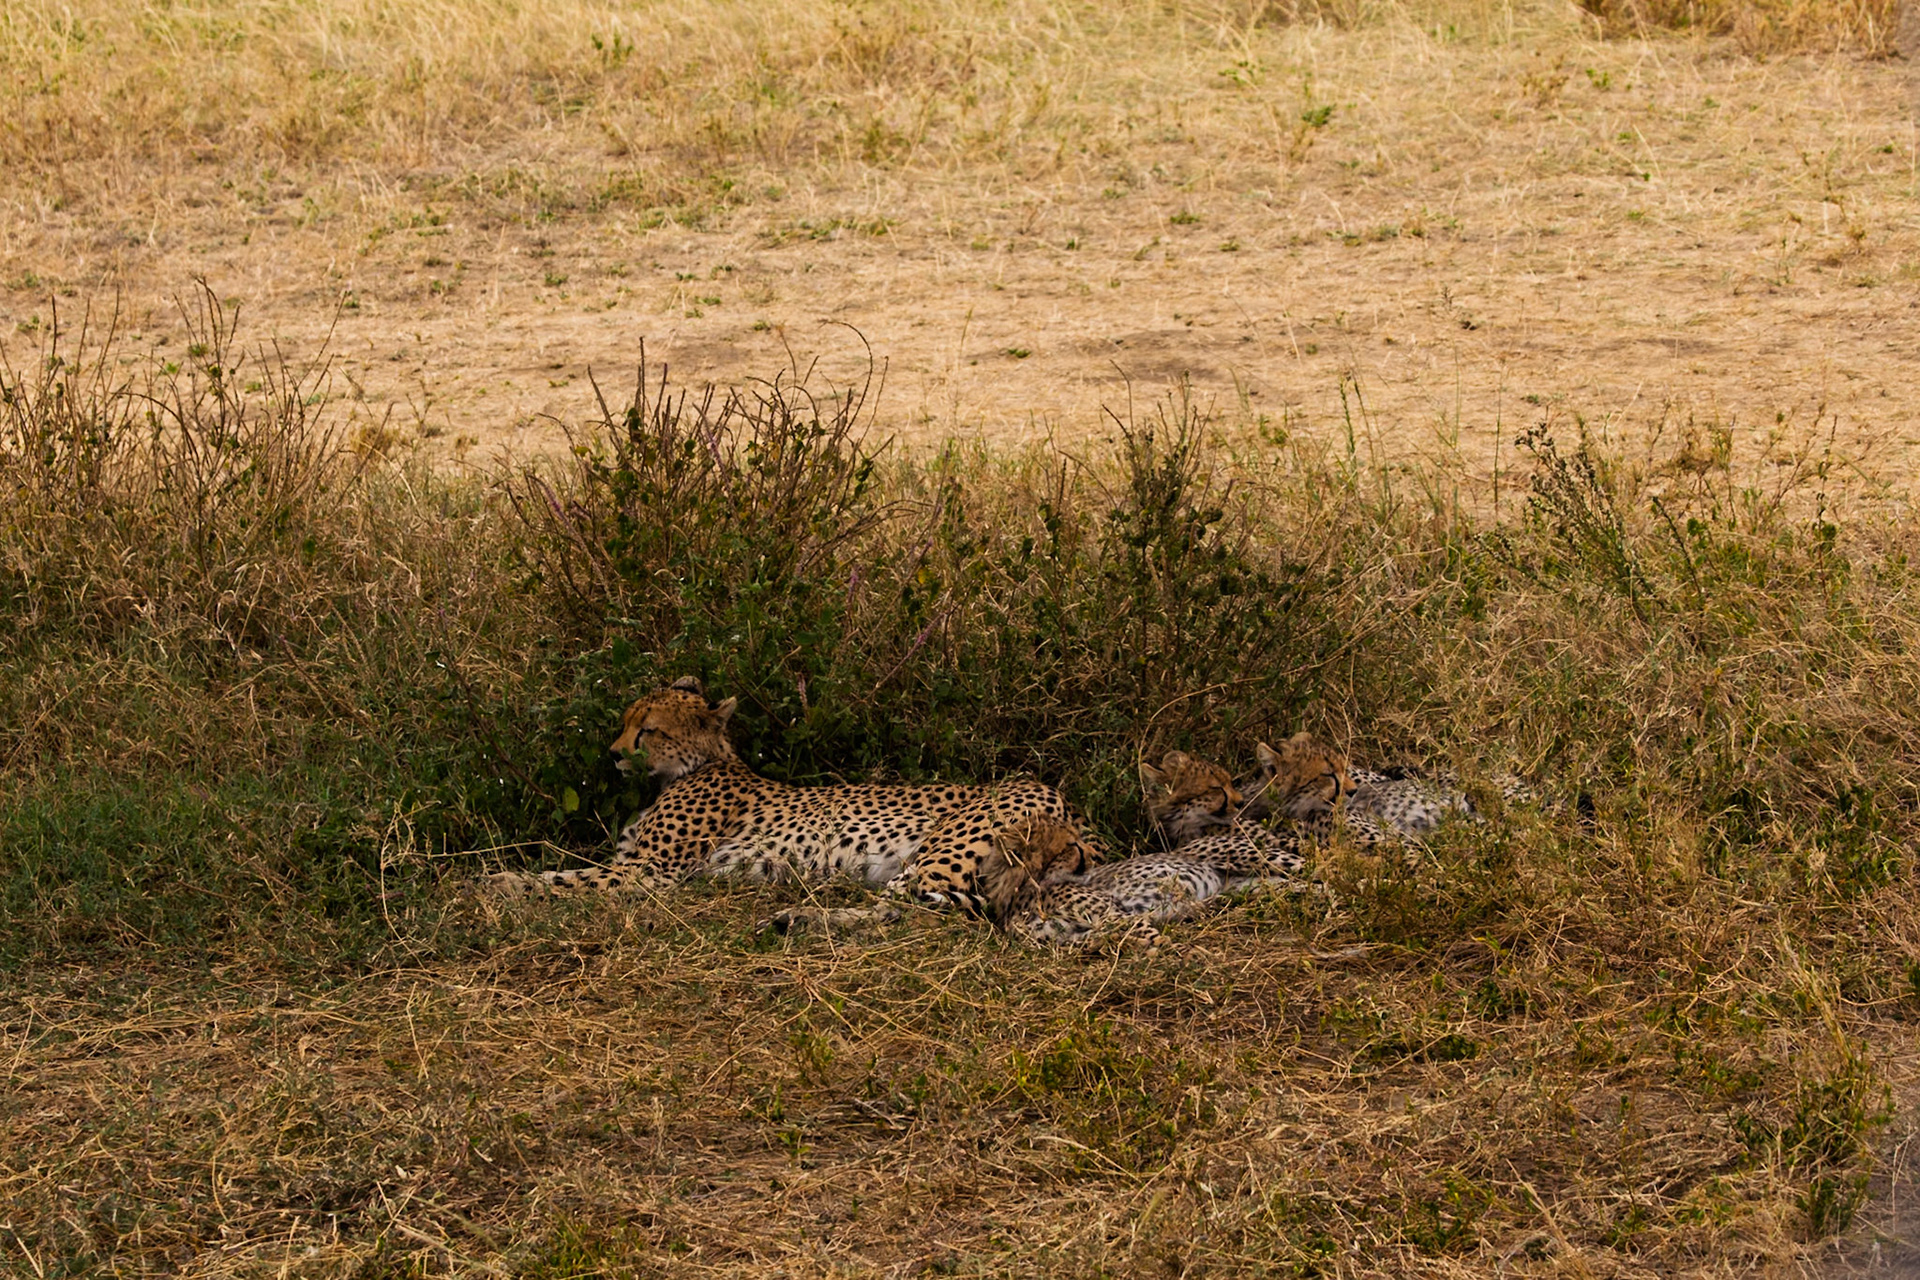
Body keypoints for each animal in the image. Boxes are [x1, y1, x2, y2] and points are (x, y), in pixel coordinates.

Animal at [485, 677, 1070, 922]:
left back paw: (798, 918)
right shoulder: (634, 863)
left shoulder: (649, 873)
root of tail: (1056, 795)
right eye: (626, 720)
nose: (612, 754)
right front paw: (501, 879)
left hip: (939, 854)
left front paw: (498, 884)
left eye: (646, 730)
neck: (694, 766)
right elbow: (571, 871)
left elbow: (566, 879)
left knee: (907, 911)